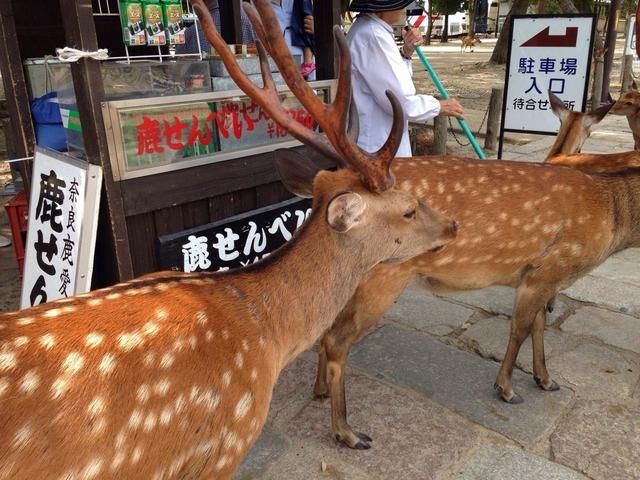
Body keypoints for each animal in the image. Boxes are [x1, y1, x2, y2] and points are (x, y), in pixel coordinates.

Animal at [312, 103, 640, 448]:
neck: (611, 216)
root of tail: (327, 183)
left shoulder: (539, 272)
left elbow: (538, 325)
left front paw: (545, 379)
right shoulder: (551, 268)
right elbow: (520, 328)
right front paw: (507, 389)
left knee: (326, 326)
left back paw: (320, 391)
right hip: (383, 276)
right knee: (337, 338)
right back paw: (347, 432)